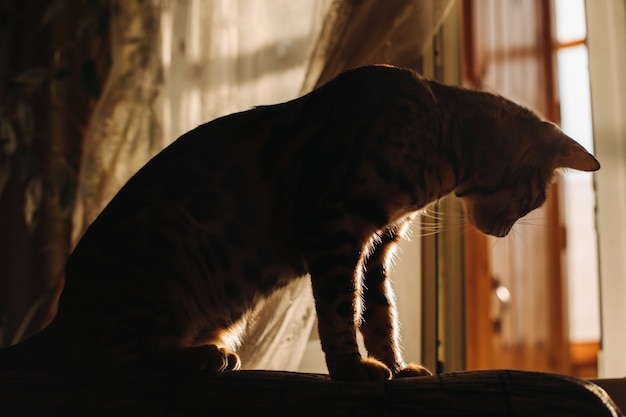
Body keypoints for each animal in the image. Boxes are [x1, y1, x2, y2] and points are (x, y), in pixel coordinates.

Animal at [0, 63, 596, 378]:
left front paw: (398, 367)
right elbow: (337, 311)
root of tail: (64, 314)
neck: (438, 140)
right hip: (169, 249)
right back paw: (204, 358)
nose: (503, 232)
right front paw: (353, 369)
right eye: (533, 199)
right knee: (108, 361)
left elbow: (380, 316)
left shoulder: (375, 249)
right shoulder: (334, 225)